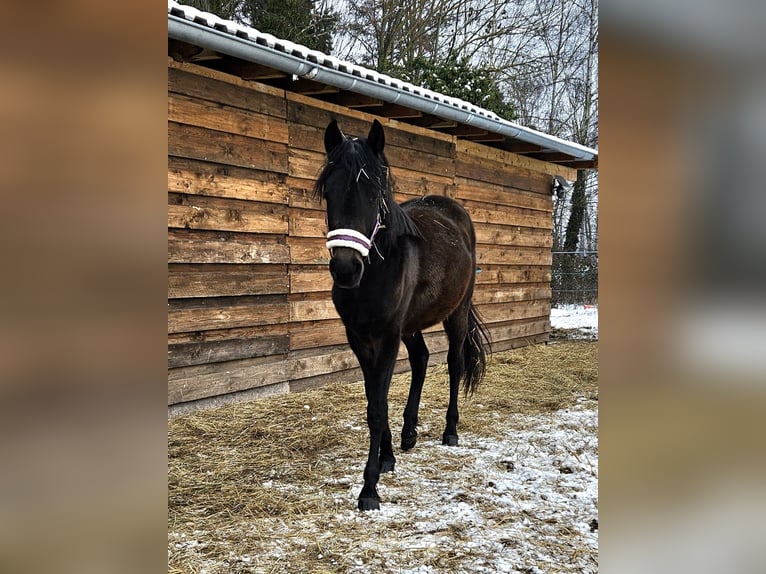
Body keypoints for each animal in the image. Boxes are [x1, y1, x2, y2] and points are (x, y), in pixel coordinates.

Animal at [314, 119, 491, 511]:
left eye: (375, 192)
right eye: (328, 192)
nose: (345, 269)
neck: (375, 272)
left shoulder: (388, 336)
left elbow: (378, 407)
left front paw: (369, 488)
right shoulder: (359, 339)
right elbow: (373, 399)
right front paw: (387, 458)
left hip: (456, 314)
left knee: (454, 364)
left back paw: (450, 432)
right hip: (412, 324)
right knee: (422, 359)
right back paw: (410, 433)